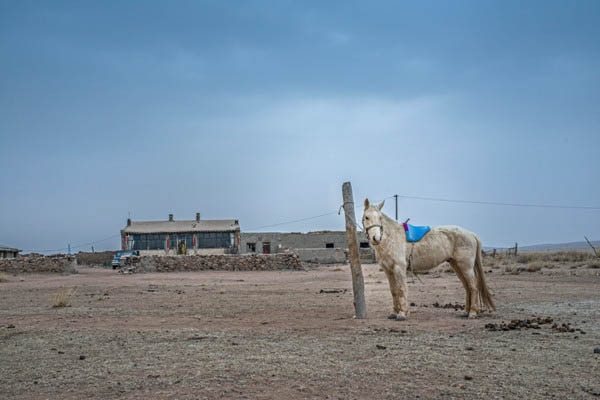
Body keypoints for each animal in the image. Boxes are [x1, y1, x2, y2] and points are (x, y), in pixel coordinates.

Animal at [360, 198, 496, 320]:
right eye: (366, 217)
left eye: (380, 218)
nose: (376, 238)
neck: (391, 238)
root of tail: (471, 234)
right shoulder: (388, 270)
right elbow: (393, 291)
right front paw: (394, 313)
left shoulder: (399, 268)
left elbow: (401, 289)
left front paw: (402, 314)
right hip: (457, 266)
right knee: (467, 287)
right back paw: (466, 312)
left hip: (466, 267)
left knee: (473, 287)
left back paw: (472, 313)